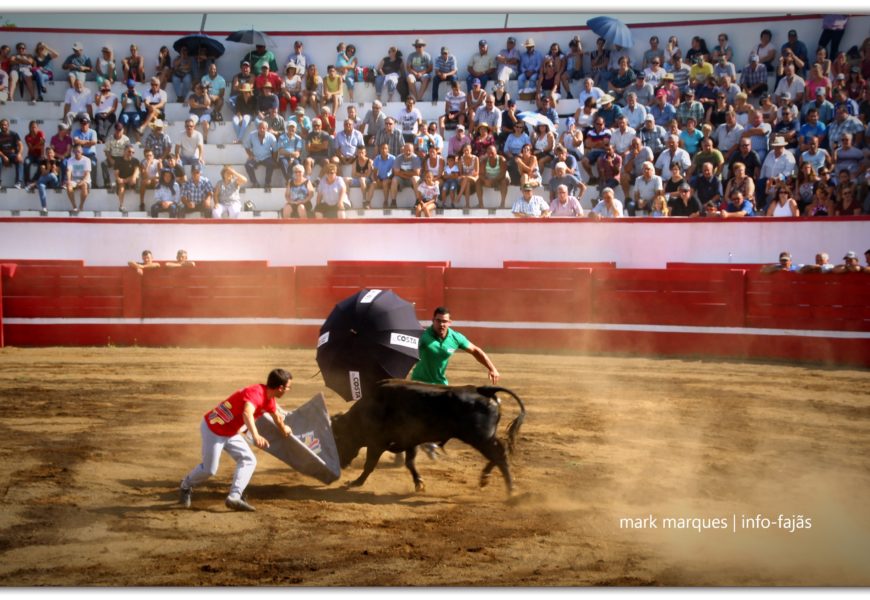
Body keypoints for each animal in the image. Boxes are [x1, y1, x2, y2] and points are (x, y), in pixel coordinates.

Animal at [332, 382, 524, 494]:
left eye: (338, 439)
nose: (340, 465)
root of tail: (482, 389)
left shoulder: (377, 443)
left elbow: (369, 464)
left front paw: (355, 482)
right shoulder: (410, 440)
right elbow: (410, 463)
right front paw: (419, 483)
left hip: (480, 437)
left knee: (499, 454)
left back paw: (510, 489)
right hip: (484, 437)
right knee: (499, 453)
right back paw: (486, 478)